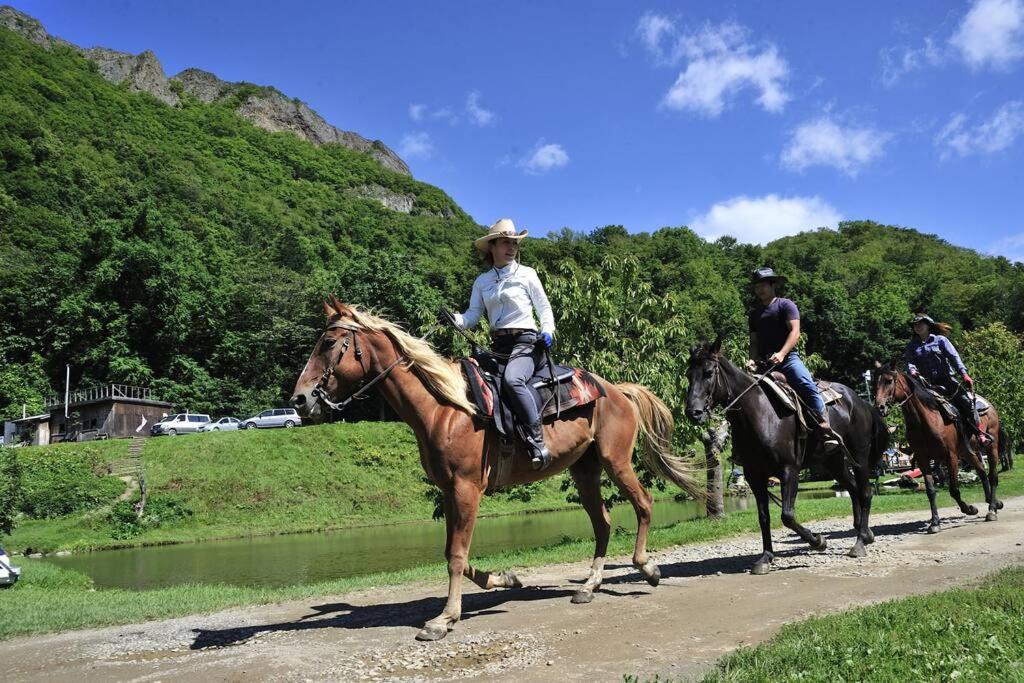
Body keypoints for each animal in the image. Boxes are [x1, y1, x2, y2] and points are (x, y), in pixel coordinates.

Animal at [288, 299, 704, 643]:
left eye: (329, 343)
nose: (300, 399)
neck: (446, 408)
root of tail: (615, 390)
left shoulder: (467, 489)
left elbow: (456, 554)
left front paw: (443, 619)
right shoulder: (449, 491)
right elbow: (452, 551)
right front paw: (504, 578)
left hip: (614, 461)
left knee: (643, 503)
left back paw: (647, 568)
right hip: (584, 470)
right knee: (602, 522)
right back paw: (588, 586)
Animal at [868, 360, 1003, 532]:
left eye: (889, 380)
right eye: (873, 383)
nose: (880, 407)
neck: (926, 419)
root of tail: (988, 405)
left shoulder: (950, 456)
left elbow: (954, 489)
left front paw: (969, 509)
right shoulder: (923, 459)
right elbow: (931, 490)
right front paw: (934, 522)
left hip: (991, 446)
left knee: (992, 475)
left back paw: (992, 509)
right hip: (966, 451)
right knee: (981, 470)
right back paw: (993, 502)